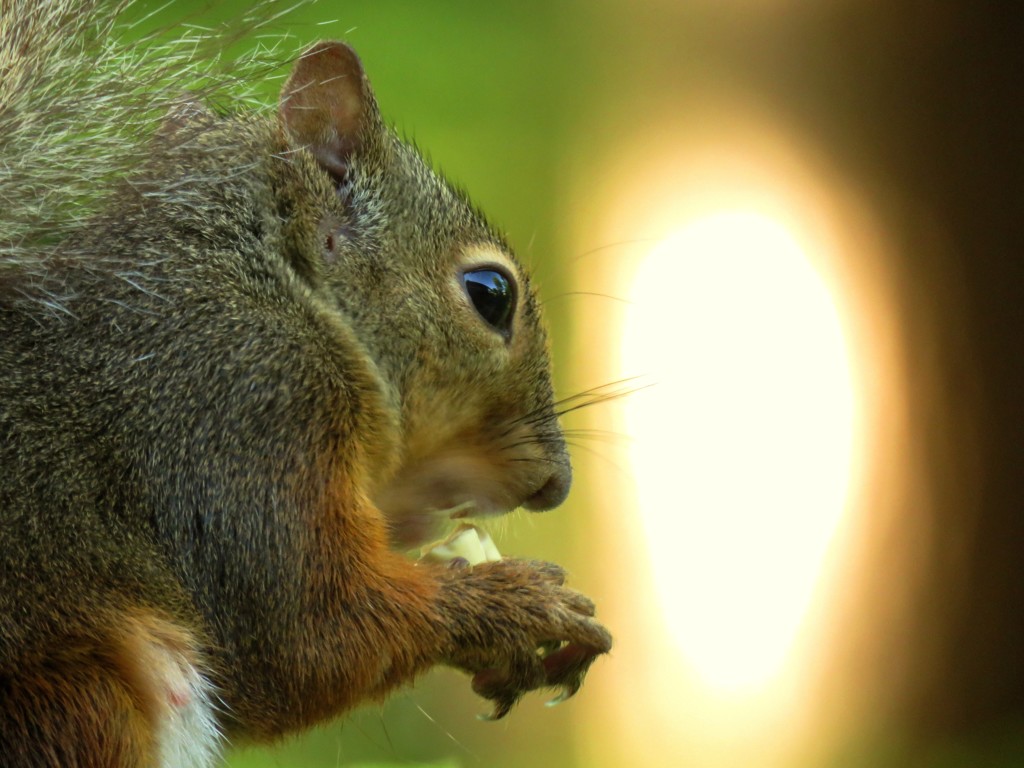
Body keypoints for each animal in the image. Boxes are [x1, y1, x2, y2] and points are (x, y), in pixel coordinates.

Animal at [0, 3, 606, 765]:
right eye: (490, 293)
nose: (557, 485)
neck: (281, 287)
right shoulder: (243, 404)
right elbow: (305, 641)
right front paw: (519, 605)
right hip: (77, 703)